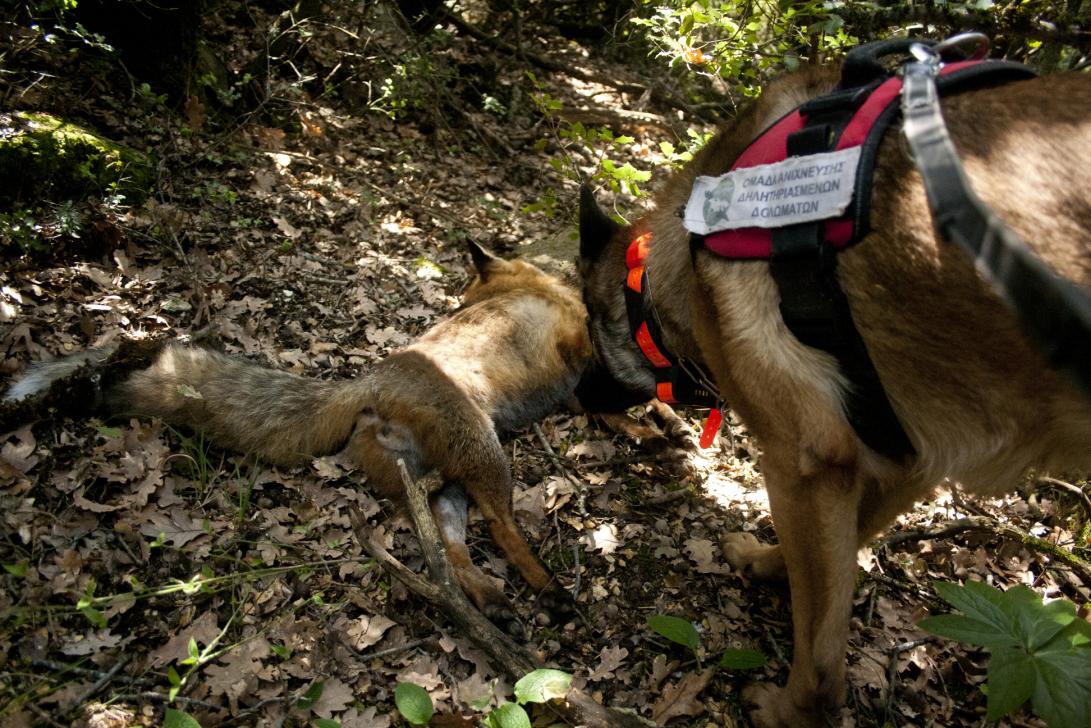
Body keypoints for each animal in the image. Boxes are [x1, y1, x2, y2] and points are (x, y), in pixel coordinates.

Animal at [8, 242, 667, 624]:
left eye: (460, 302)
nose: (455, 311)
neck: (531, 290)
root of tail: (366, 383)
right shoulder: (578, 365)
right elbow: (612, 400)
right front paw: (654, 422)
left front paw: (657, 426)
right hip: (485, 458)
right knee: (500, 530)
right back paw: (546, 590)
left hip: (442, 482)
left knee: (448, 550)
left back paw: (489, 598)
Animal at [580, 65, 1091, 724]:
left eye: (589, 326)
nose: (578, 395)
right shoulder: (902, 461)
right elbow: (836, 562)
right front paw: (770, 563)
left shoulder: (805, 464)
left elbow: (822, 649)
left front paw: (788, 711)